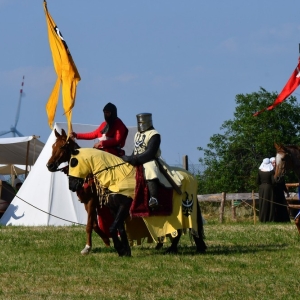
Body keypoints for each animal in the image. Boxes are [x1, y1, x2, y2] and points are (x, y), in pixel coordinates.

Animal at [66, 146, 206, 256]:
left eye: (73, 162)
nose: (71, 186)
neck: (116, 176)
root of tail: (191, 177)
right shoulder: (114, 208)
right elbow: (120, 229)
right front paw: (125, 251)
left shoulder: (124, 206)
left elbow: (112, 228)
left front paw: (120, 249)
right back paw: (173, 249)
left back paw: (173, 249)